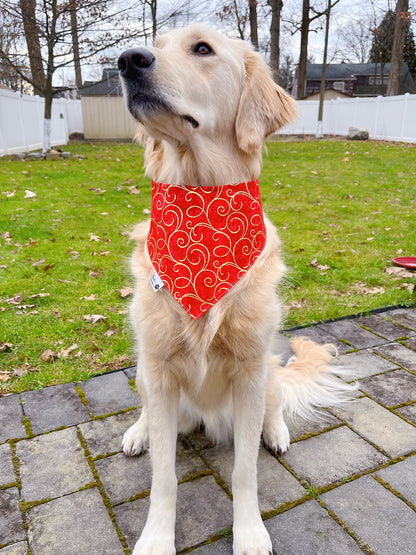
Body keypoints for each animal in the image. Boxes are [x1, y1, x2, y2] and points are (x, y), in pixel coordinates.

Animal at [117, 25, 354, 555]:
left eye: (202, 49)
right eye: (155, 44)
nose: (127, 60)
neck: (202, 205)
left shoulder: (248, 373)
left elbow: (246, 472)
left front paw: (249, 533)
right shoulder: (159, 371)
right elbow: (164, 477)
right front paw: (156, 537)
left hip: (267, 372)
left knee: (275, 405)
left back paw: (277, 432)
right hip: (144, 371)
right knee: (147, 415)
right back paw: (138, 432)